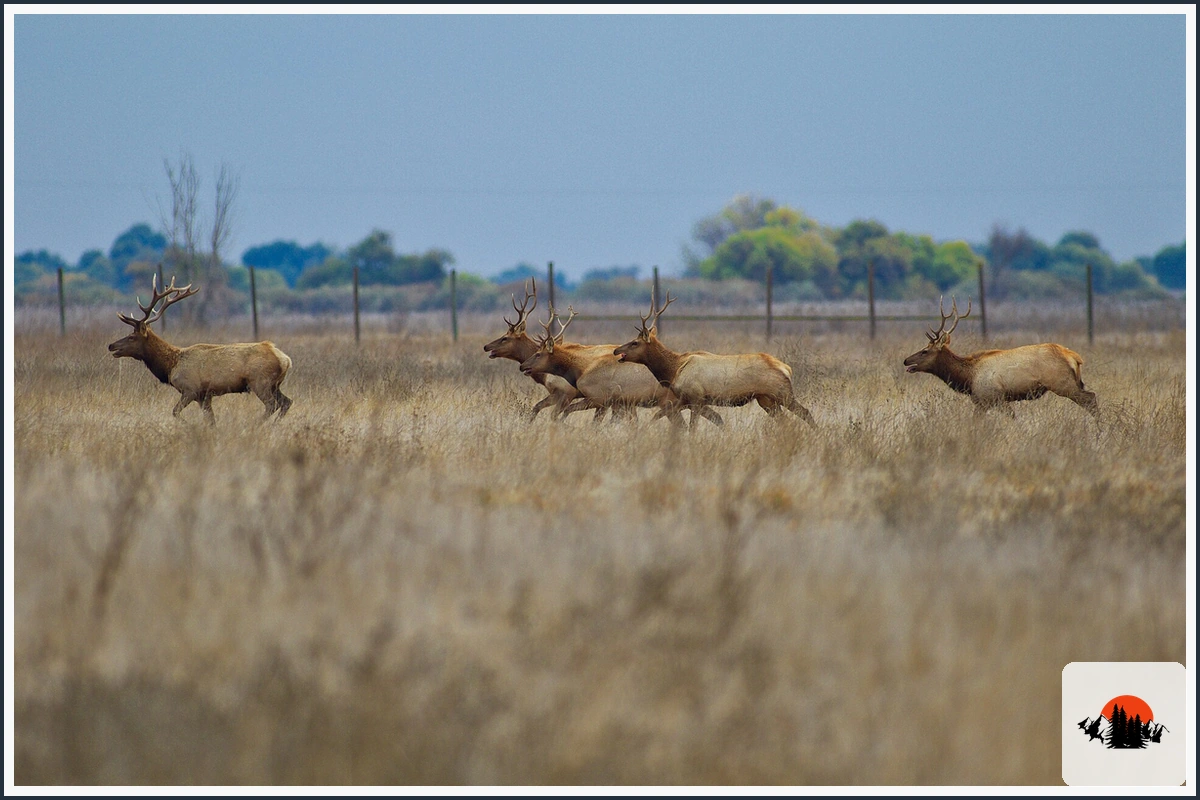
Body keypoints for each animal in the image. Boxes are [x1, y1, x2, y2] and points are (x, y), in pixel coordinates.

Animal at [107, 275, 293, 422]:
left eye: (132, 337)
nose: (111, 345)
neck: (170, 366)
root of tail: (285, 359)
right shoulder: (205, 396)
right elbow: (211, 420)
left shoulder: (191, 390)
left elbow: (175, 412)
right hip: (274, 385)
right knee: (287, 402)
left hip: (260, 382)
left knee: (272, 405)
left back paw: (254, 424)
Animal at [518, 305, 689, 423]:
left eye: (538, 354)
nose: (522, 366)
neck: (581, 369)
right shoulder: (617, 402)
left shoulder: (599, 398)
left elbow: (568, 413)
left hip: (669, 403)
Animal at [612, 291, 817, 429]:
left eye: (635, 342)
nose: (616, 350)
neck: (673, 370)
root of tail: (786, 368)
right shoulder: (689, 401)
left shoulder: (695, 398)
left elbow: (692, 428)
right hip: (765, 399)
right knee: (785, 421)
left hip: (782, 393)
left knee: (805, 412)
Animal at [902, 296, 1099, 417]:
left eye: (925, 350)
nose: (906, 360)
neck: (968, 377)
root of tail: (1074, 357)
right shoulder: (982, 402)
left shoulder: (992, 398)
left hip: (1062, 383)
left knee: (1091, 398)